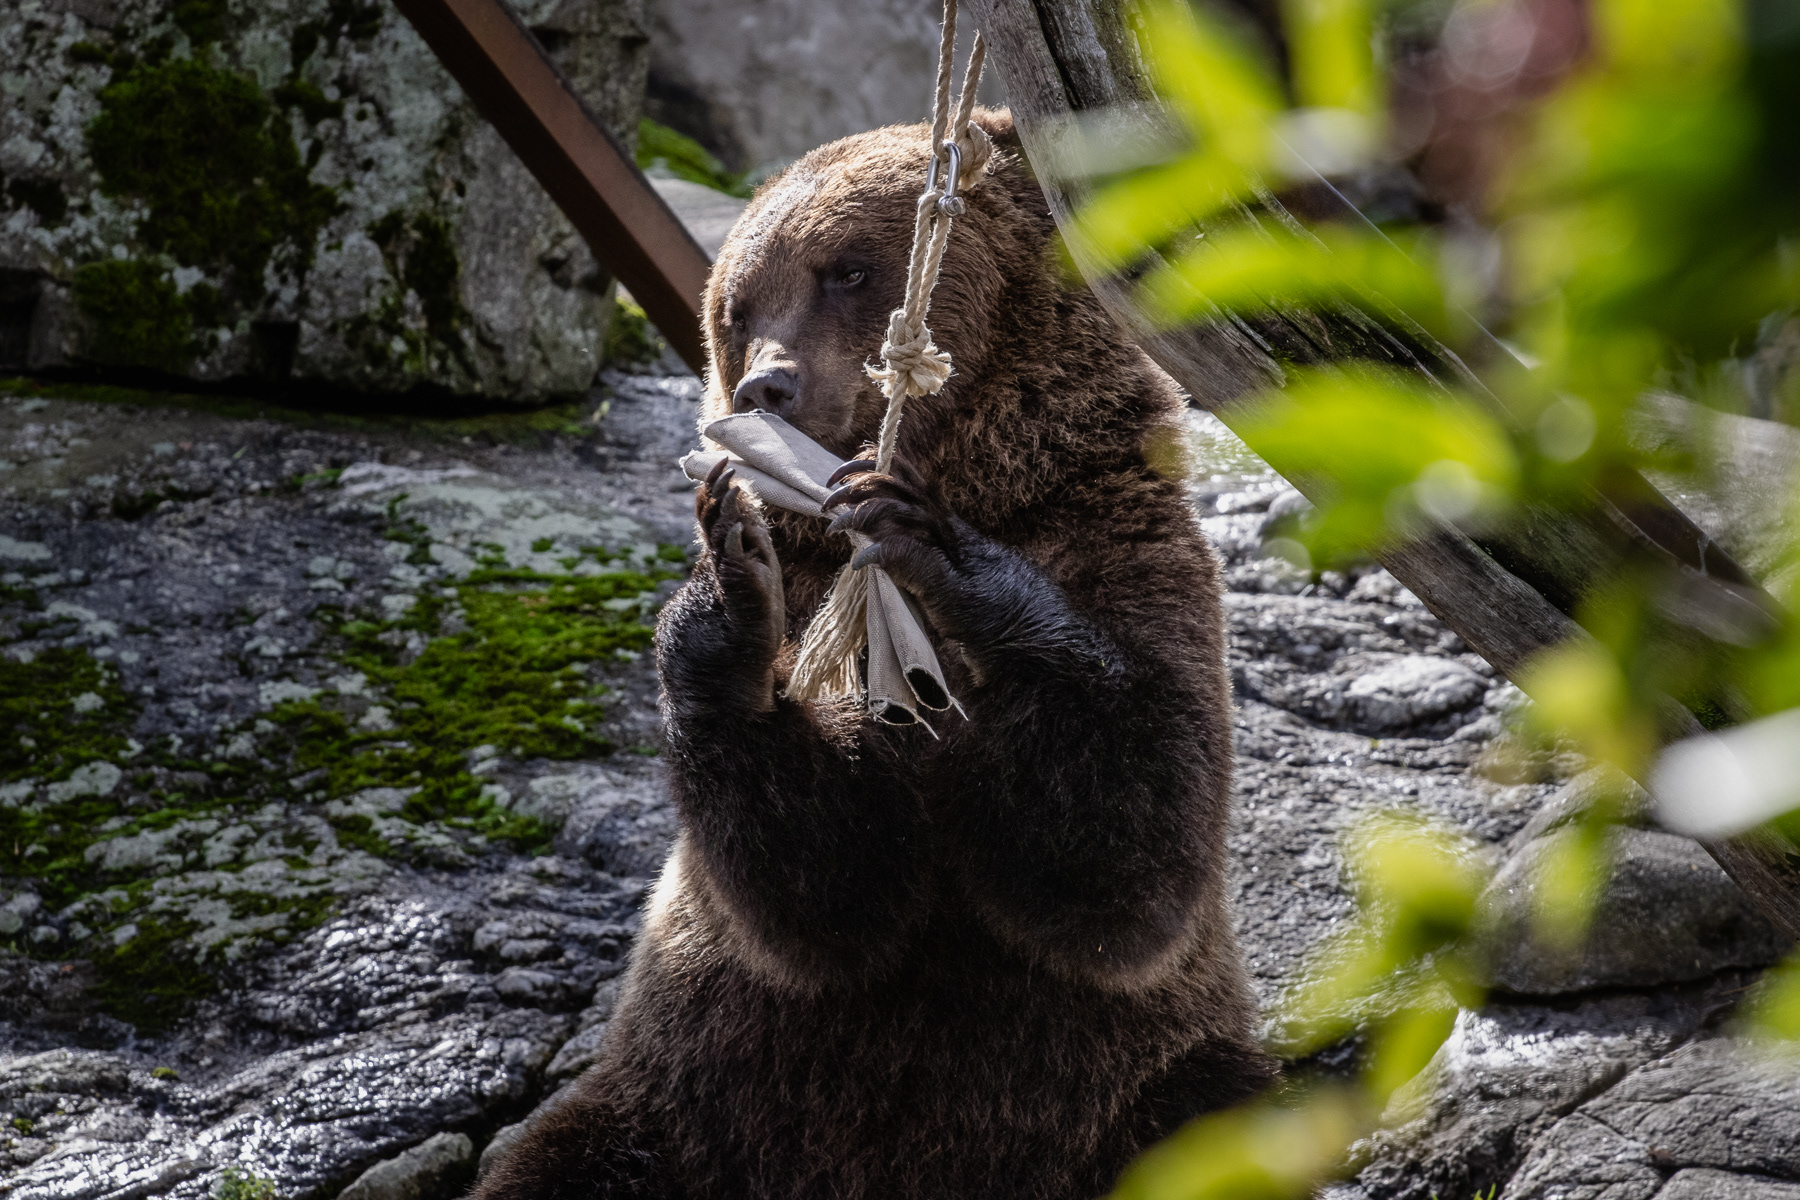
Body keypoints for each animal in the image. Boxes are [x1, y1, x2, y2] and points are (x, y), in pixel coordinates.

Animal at [473, 109, 1276, 1200]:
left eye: (845, 270)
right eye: (737, 306)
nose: (769, 382)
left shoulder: (1124, 544)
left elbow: (1132, 854)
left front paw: (938, 551)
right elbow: (822, 897)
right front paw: (732, 589)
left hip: (1138, 1093)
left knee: (1220, 1121)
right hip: (680, 1108)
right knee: (562, 1159)